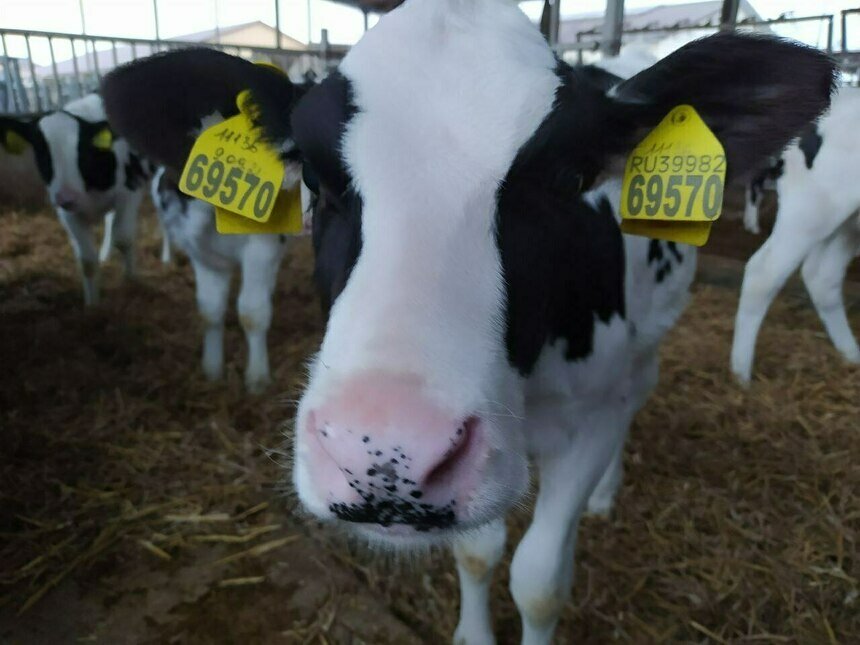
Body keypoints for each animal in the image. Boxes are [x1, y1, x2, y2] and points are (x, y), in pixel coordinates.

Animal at [0, 94, 151, 306]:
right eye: (42, 152)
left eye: (82, 150)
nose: (66, 196)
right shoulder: (68, 213)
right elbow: (87, 261)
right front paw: (92, 305)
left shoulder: (130, 191)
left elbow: (124, 238)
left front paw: (131, 282)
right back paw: (105, 254)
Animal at [101, 2, 832, 640]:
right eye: (312, 175)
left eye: (569, 179)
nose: (383, 454)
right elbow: (478, 553)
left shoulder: (591, 415)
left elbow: (540, 579)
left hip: (649, 334)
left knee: (639, 389)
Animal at [732, 87, 860, 384]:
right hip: (812, 210)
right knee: (763, 273)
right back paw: (740, 375)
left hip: (846, 224)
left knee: (822, 276)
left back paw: (851, 355)